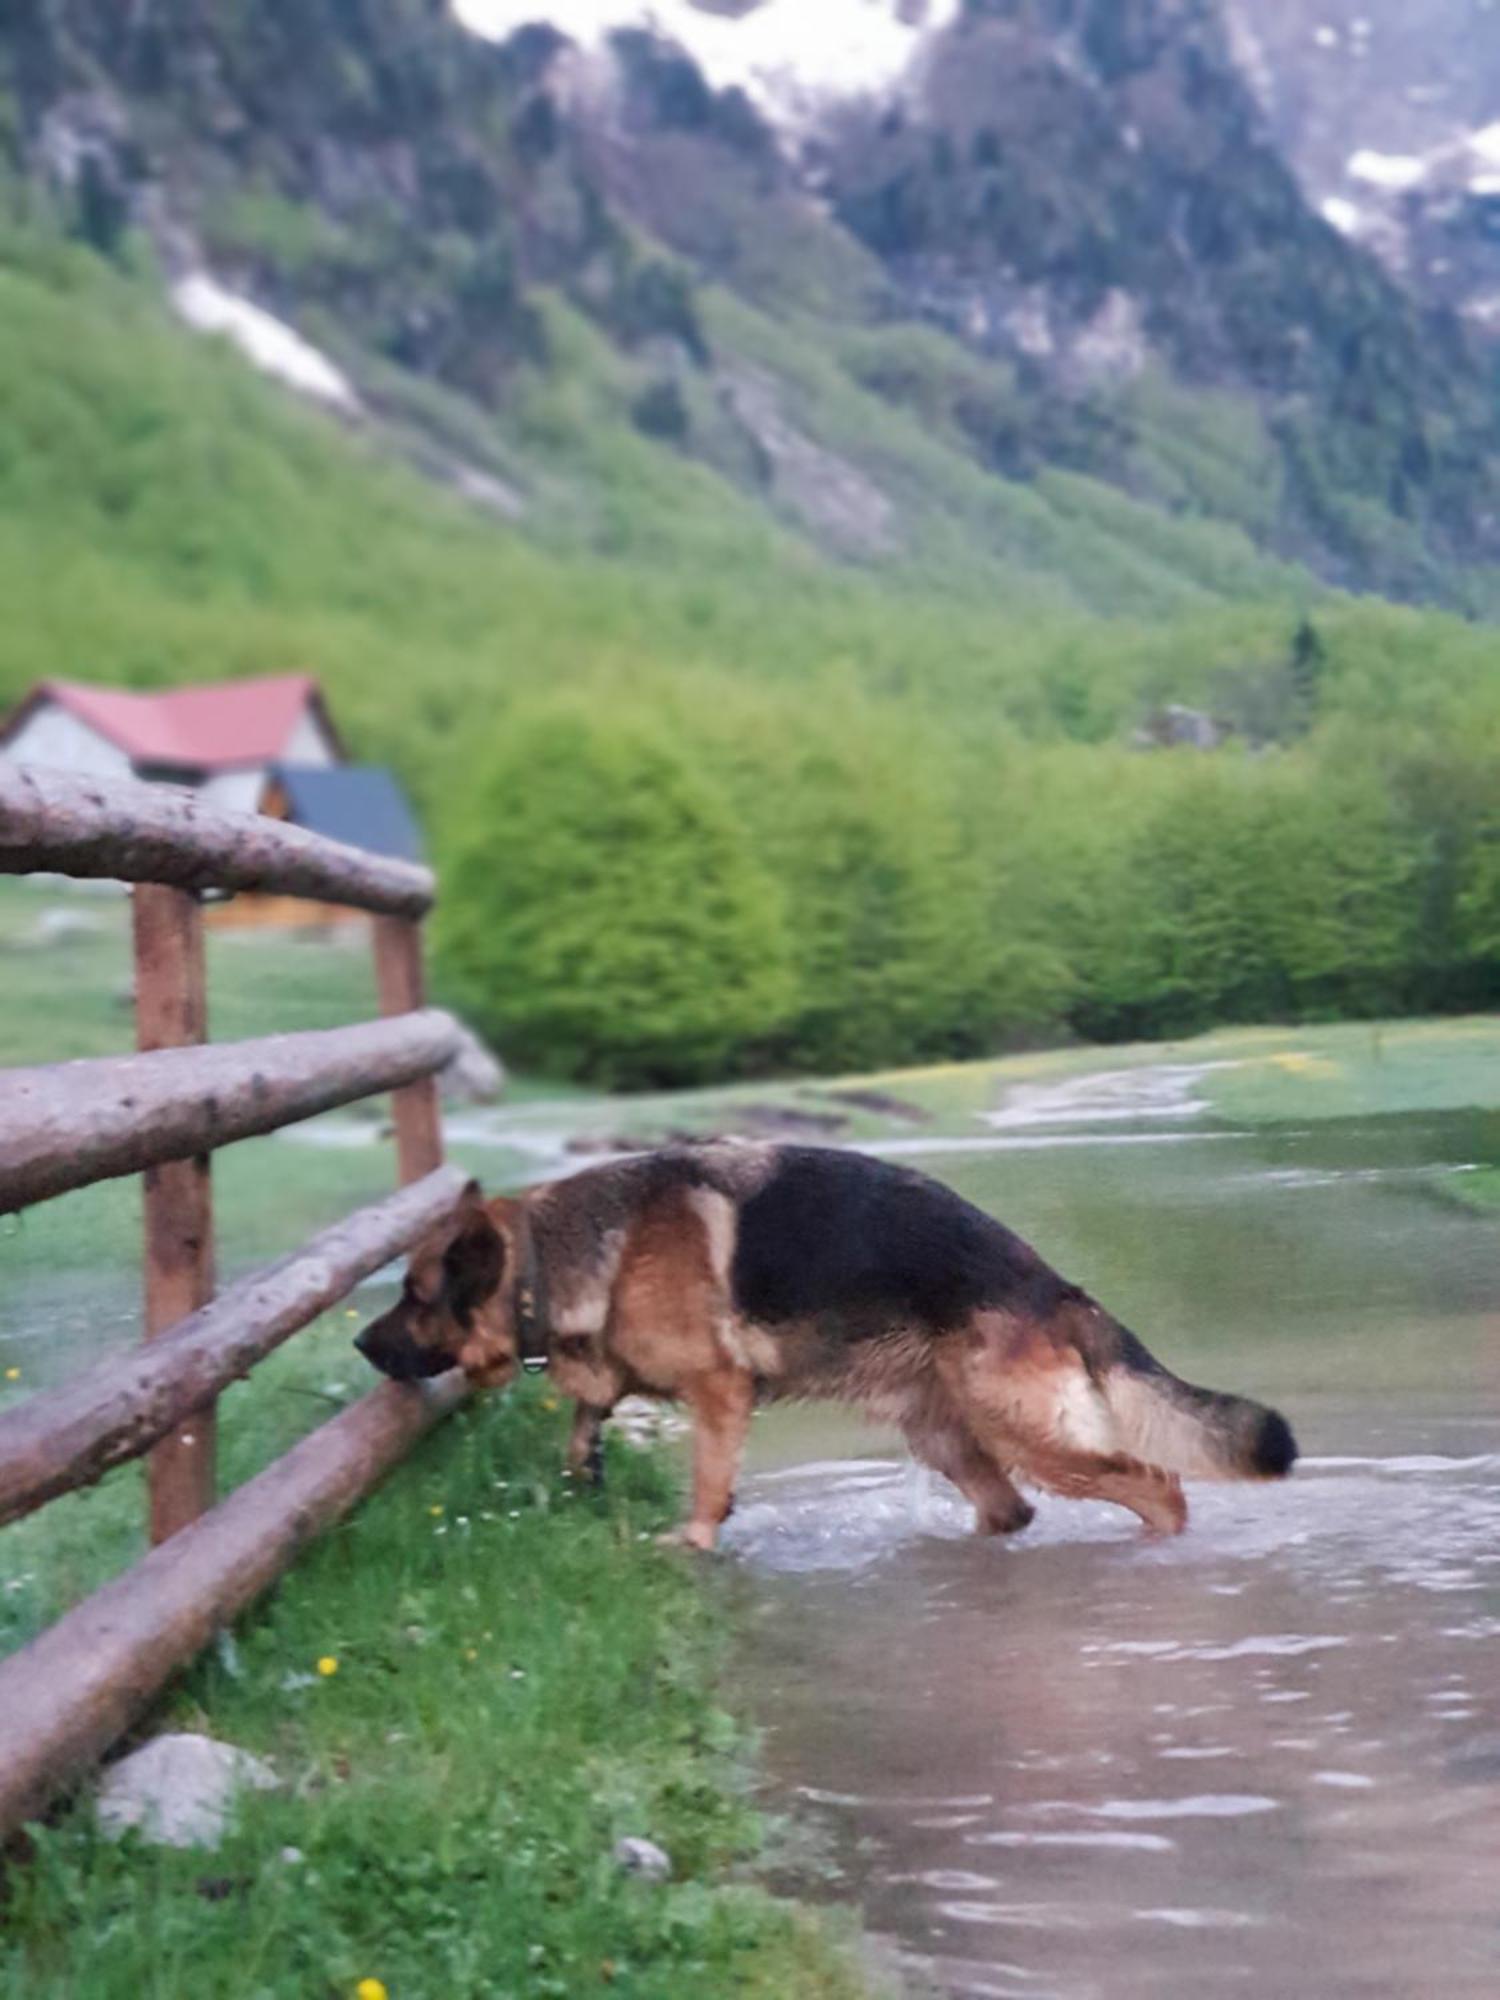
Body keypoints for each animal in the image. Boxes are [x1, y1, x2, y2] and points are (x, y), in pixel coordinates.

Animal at [358, 1144, 1296, 1544]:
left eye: (413, 1296)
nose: (363, 1344)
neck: (559, 1258)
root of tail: (1057, 1287)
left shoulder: (719, 1390)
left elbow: (705, 1481)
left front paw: (693, 1544)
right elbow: (590, 1416)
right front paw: (583, 1464)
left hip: (1031, 1435)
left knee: (1159, 1489)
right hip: (947, 1435)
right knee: (1012, 1511)